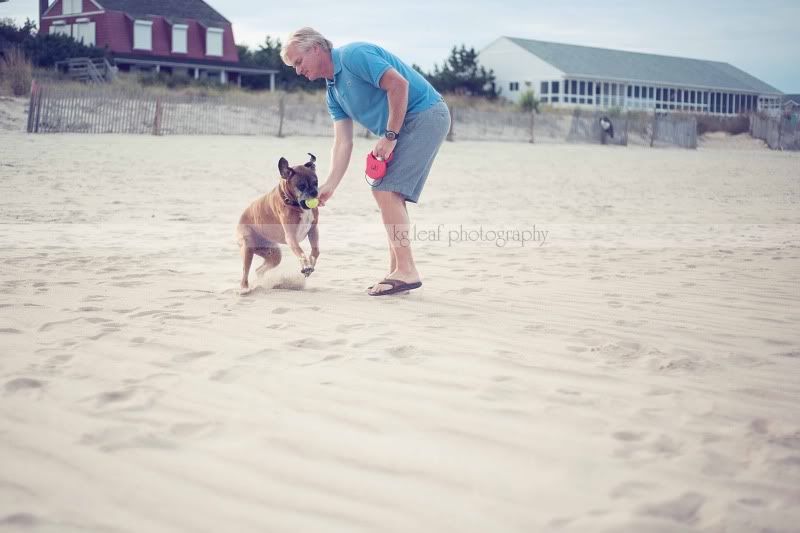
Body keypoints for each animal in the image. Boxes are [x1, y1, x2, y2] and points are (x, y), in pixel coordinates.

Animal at [236, 152, 320, 294]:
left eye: (316, 182)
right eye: (301, 185)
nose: (315, 192)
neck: (293, 202)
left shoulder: (313, 230)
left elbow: (316, 251)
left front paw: (311, 263)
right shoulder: (291, 236)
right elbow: (300, 252)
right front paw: (305, 265)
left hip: (273, 254)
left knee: (259, 270)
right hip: (247, 249)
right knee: (245, 273)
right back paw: (244, 289)